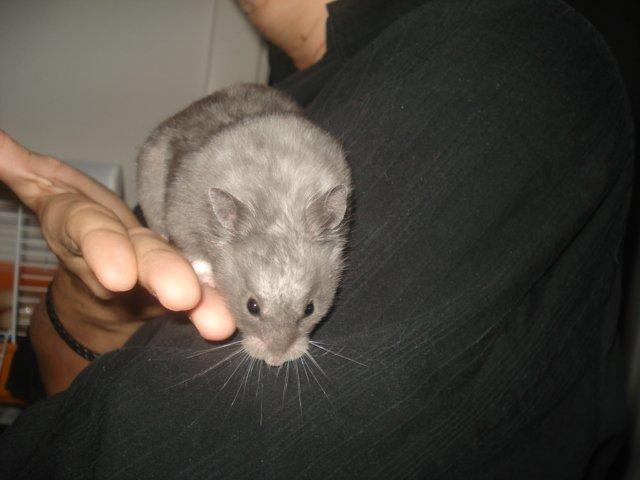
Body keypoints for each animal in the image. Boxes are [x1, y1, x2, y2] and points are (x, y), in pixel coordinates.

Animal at [137, 84, 351, 367]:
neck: (277, 204)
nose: (276, 362)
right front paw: (210, 278)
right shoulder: (180, 216)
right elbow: (195, 252)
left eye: (310, 309)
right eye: (252, 306)